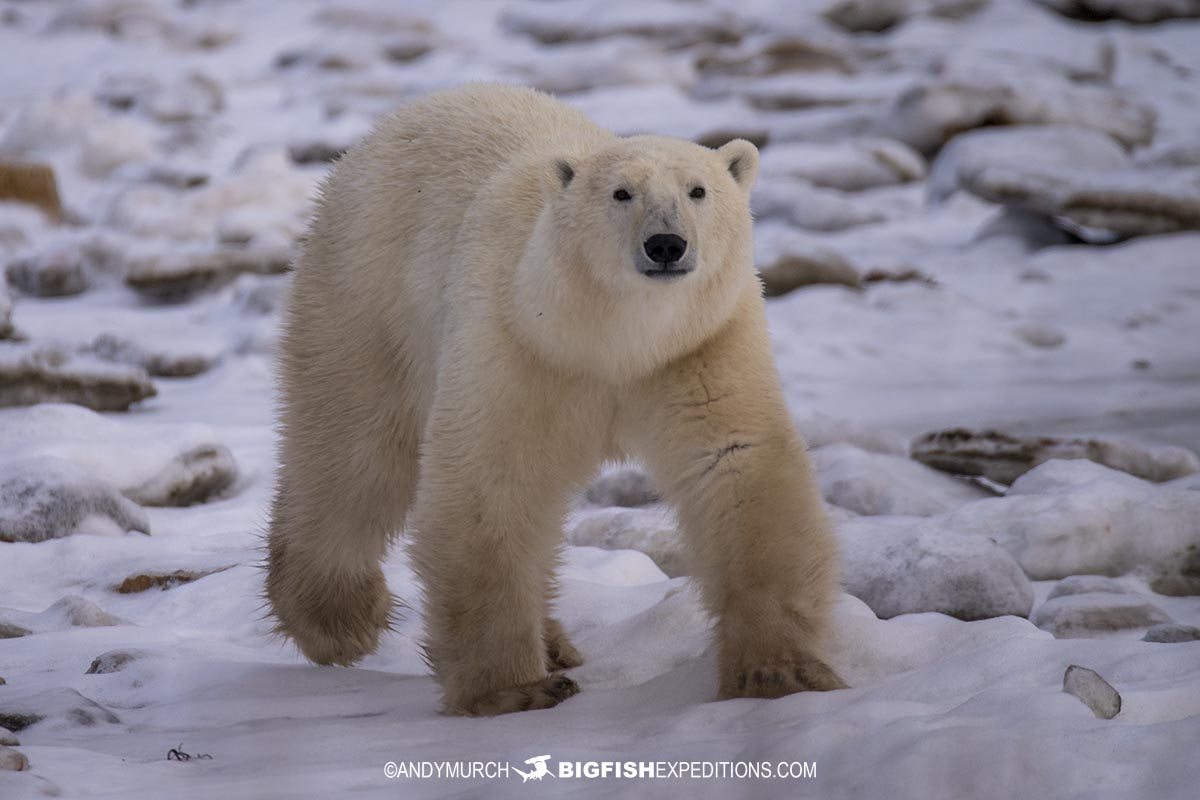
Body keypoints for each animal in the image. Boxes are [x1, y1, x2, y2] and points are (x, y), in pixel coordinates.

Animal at [266, 83, 847, 716]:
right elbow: (492, 483)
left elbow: (738, 467)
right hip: (368, 298)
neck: (612, 340)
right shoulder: (518, 345)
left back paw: (555, 642)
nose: (666, 244)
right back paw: (339, 619)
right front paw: (515, 689)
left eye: (698, 189)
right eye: (621, 192)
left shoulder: (700, 348)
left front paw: (778, 674)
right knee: (355, 455)